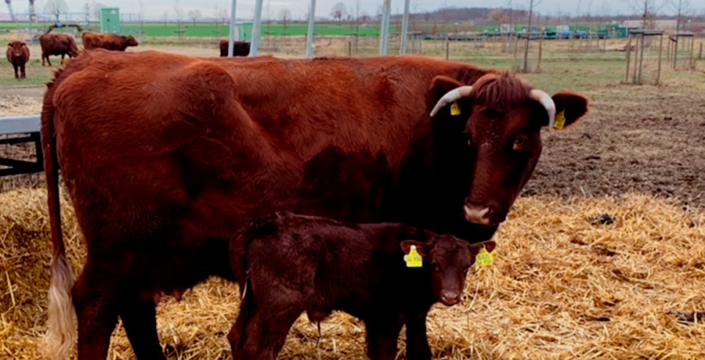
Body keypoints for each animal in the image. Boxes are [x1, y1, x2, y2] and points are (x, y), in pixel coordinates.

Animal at [231, 212, 496, 360]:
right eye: (435, 265)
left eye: (466, 267)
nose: (450, 296)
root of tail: (264, 224)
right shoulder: (386, 318)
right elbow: (384, 353)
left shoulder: (415, 314)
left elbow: (420, 352)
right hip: (280, 305)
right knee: (259, 350)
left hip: (252, 301)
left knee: (237, 339)